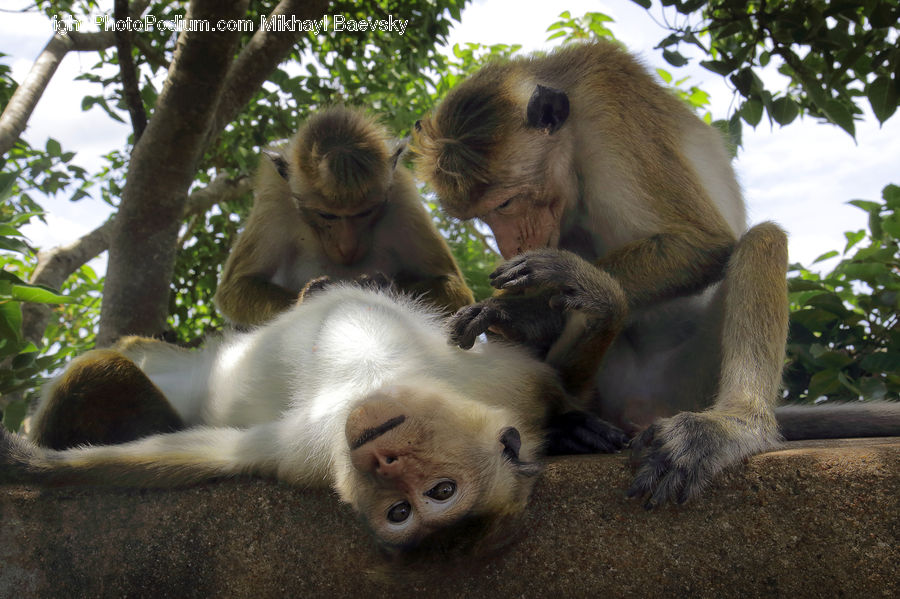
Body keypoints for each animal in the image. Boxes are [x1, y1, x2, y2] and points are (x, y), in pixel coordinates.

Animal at [3, 281, 629, 551]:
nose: (384, 458)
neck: (373, 378)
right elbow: (545, 384)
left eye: (427, 499)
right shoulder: (499, 384)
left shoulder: (310, 453)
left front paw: (32, 466)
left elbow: (199, 456)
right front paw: (574, 426)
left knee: (100, 371)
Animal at [214, 106, 474, 328]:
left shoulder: (402, 197)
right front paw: (311, 296)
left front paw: (382, 287)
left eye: (365, 212)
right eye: (326, 215)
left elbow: (453, 287)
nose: (347, 247)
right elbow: (236, 287)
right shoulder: (274, 198)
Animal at [412, 40, 900, 508]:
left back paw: (728, 423)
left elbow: (701, 242)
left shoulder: (611, 109)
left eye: (506, 203)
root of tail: (639, 410)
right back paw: (571, 415)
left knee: (763, 240)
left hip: (692, 380)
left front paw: (523, 311)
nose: (510, 243)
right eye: (482, 216)